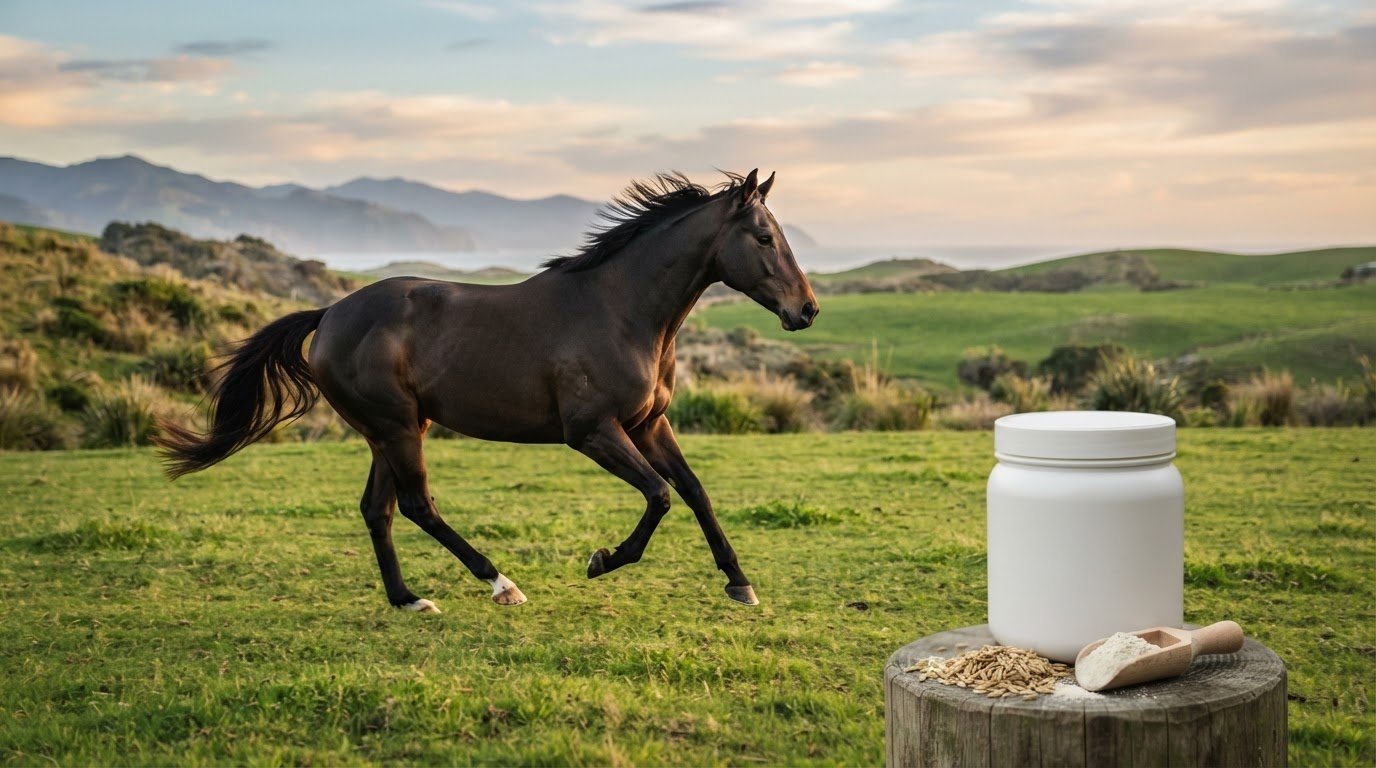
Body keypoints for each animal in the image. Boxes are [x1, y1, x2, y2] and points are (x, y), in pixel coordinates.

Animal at [156, 168, 819, 613]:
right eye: (763, 238)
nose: (807, 310)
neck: (621, 310)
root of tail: (330, 314)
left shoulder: (649, 424)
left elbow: (694, 491)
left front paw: (739, 583)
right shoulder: (593, 432)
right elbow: (659, 496)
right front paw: (602, 560)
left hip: (393, 430)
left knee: (377, 509)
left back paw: (408, 599)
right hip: (398, 428)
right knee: (417, 506)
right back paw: (501, 584)